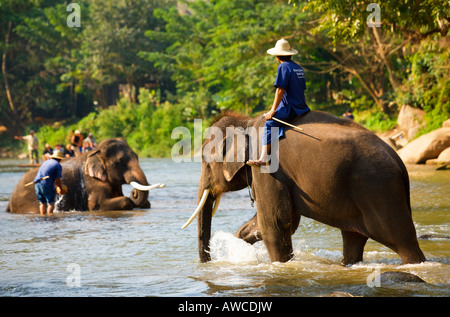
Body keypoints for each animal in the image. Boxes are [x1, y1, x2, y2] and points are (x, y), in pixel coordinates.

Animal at [182, 110, 426, 264]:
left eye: (204, 161)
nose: (208, 262)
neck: (247, 122)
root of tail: (399, 161)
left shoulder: (267, 167)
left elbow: (276, 223)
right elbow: (282, 220)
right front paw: (240, 238)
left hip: (378, 189)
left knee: (401, 239)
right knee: (353, 238)